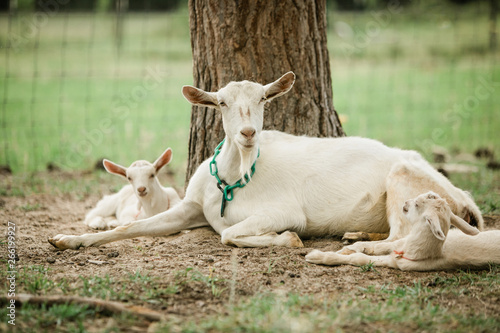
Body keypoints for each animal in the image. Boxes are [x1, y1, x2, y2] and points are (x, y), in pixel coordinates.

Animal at [48, 72, 482, 249]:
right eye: (222, 102)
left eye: (262, 99)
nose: (247, 133)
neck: (233, 177)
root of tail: (464, 197)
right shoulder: (191, 207)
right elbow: (129, 228)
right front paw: (67, 239)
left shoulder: (282, 210)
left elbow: (230, 235)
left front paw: (286, 239)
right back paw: (356, 234)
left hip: (405, 178)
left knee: (401, 234)